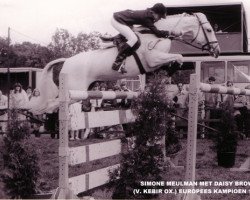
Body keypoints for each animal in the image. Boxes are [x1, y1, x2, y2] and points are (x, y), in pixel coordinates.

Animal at [27, 12, 221, 114]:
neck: (156, 33)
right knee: (52, 104)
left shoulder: (156, 62)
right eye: (209, 29)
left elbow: (174, 61)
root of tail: (67, 61)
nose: (217, 51)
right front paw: (175, 67)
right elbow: (179, 56)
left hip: (83, 90)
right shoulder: (153, 59)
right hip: (74, 91)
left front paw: (171, 71)